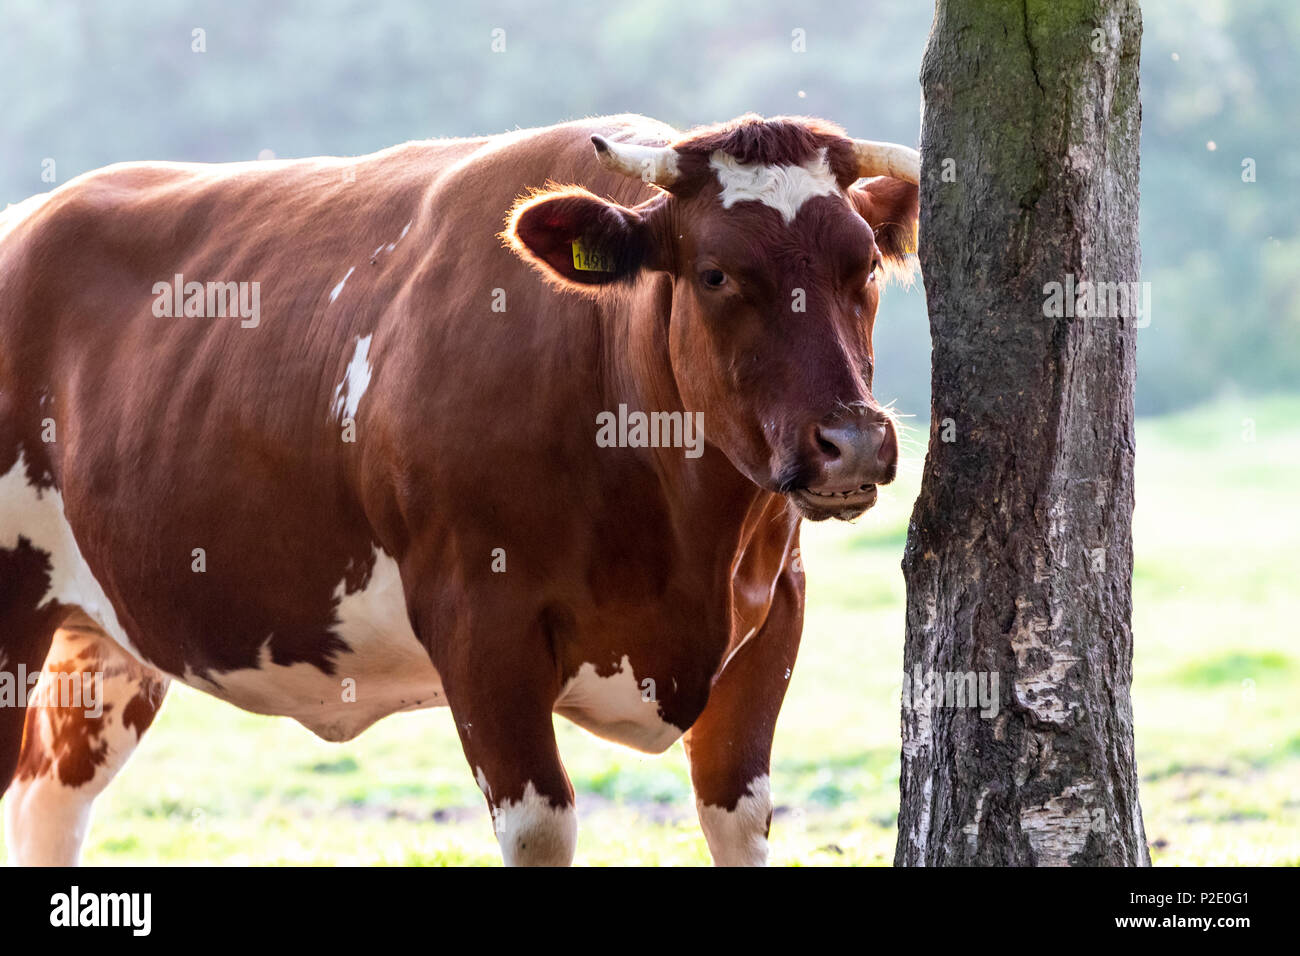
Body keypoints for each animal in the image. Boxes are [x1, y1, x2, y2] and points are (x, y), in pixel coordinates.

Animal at [0, 113, 918, 866]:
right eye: (717, 274)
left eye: (866, 266)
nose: (851, 442)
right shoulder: (482, 626)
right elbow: (542, 829)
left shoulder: (773, 617)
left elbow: (739, 820)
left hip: (103, 640)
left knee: (50, 805)